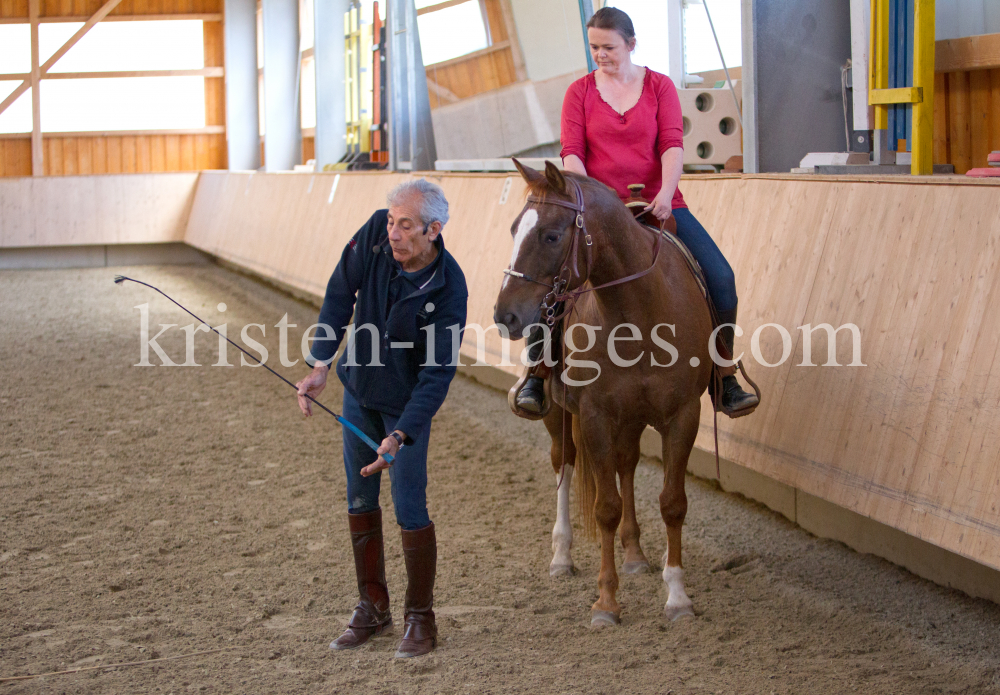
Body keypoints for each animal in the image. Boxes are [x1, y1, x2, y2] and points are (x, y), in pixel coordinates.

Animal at [492, 160, 712, 628]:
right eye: (515, 228)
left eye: (551, 235)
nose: (505, 316)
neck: (639, 314)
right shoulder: (594, 417)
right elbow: (605, 506)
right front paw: (607, 602)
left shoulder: (683, 415)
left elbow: (672, 503)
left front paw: (677, 596)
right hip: (559, 415)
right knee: (564, 463)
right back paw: (562, 555)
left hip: (630, 419)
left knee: (625, 465)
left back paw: (634, 553)